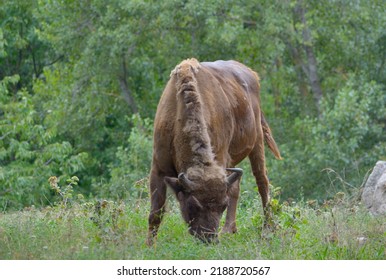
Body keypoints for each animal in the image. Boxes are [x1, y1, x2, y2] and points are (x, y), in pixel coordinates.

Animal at [146, 58, 278, 245]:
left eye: (222, 205)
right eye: (193, 205)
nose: (210, 239)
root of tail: (252, 74)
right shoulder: (158, 168)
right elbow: (155, 213)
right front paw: (150, 245)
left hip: (257, 142)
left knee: (262, 182)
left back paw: (266, 229)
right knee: (236, 187)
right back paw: (229, 230)